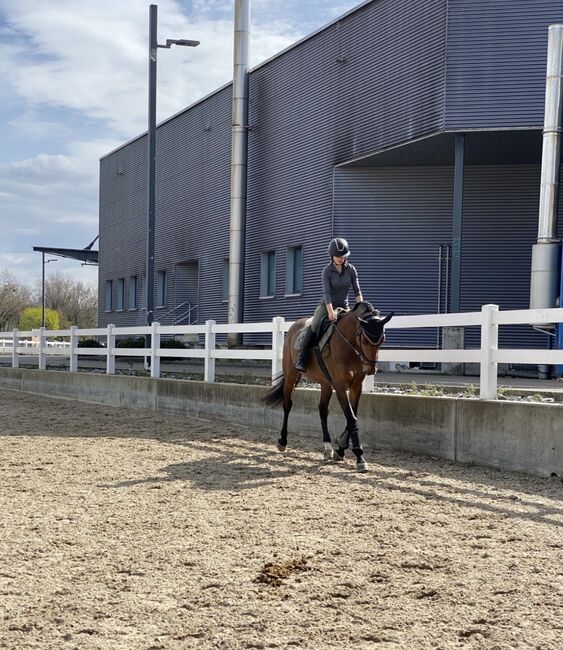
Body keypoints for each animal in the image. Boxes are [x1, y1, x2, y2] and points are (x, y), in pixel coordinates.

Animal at [264, 298, 392, 470]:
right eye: (364, 339)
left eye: (383, 339)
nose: (371, 368)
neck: (349, 345)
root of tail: (295, 325)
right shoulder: (340, 386)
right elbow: (351, 418)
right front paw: (360, 457)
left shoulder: (356, 386)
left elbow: (353, 416)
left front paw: (340, 448)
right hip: (291, 374)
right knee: (287, 404)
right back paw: (282, 441)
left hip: (325, 383)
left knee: (323, 410)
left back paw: (327, 447)